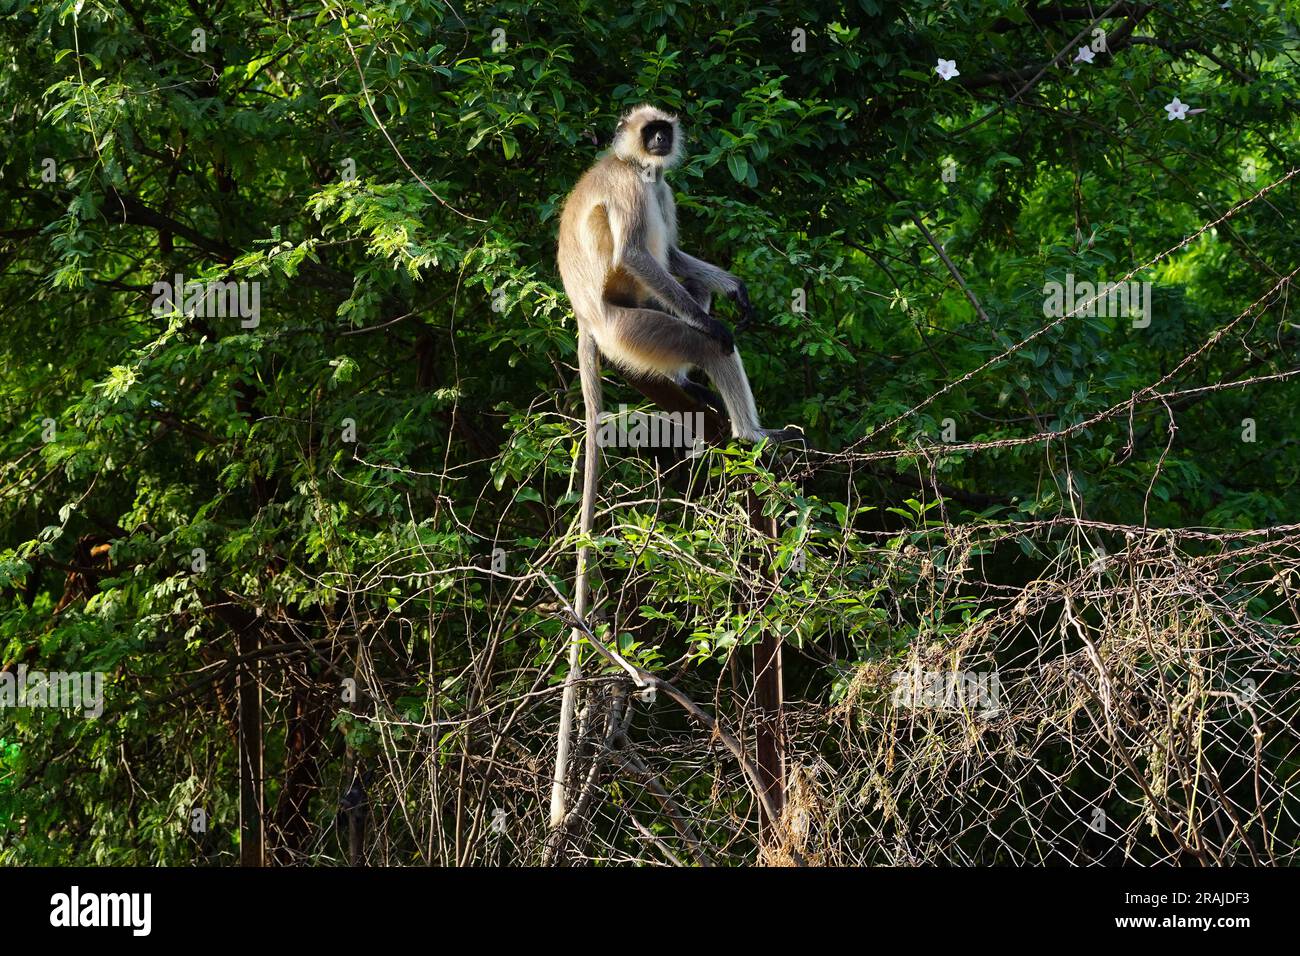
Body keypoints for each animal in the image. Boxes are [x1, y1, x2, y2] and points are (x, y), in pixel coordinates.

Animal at [557, 104, 802, 444]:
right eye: (650, 131)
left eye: (664, 129)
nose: (660, 139)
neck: (633, 165)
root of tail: (585, 317)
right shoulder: (627, 182)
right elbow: (632, 254)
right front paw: (711, 324)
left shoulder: (661, 187)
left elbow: (671, 256)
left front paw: (735, 288)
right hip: (626, 329)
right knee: (709, 347)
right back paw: (751, 434)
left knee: (697, 286)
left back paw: (680, 379)